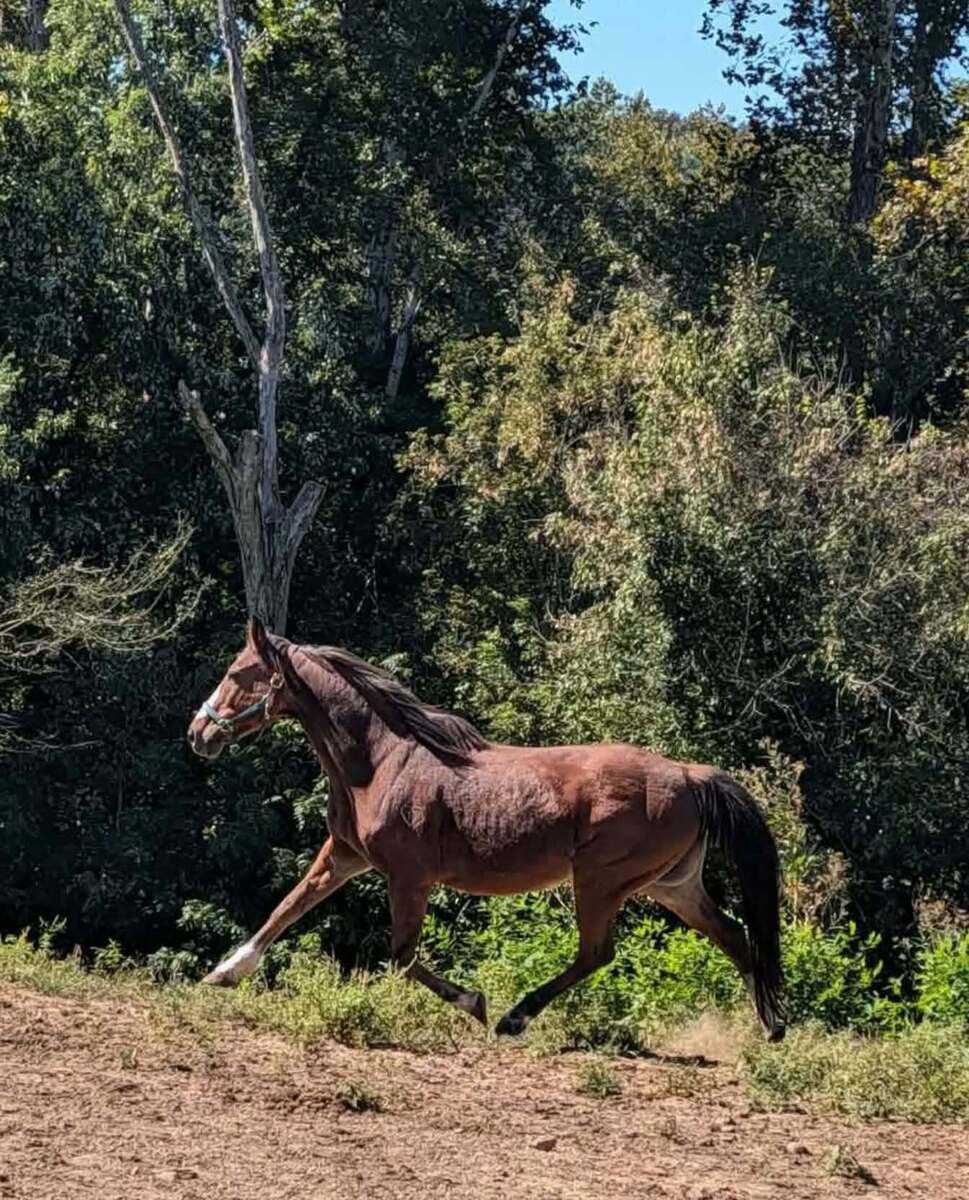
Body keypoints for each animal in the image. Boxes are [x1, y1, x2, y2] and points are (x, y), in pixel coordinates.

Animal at [187, 617, 786, 1041]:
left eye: (238, 674)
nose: (197, 733)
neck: (379, 761)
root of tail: (688, 774)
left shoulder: (408, 878)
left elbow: (403, 957)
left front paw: (474, 1003)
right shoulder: (344, 855)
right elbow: (287, 907)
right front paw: (224, 973)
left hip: (601, 881)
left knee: (597, 953)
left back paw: (514, 1019)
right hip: (672, 885)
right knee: (734, 935)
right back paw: (771, 1026)